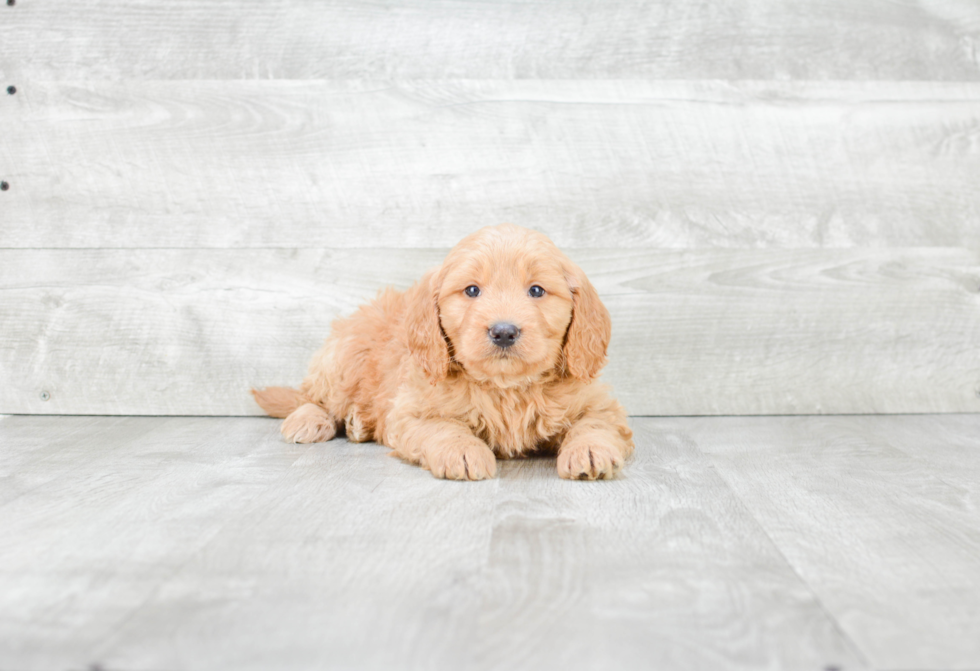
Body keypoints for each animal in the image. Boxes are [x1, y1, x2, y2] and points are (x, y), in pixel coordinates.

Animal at [253, 223, 632, 480]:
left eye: (537, 290)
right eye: (472, 290)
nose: (504, 332)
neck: (505, 388)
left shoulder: (600, 404)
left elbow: (594, 423)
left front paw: (591, 450)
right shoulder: (412, 411)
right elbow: (443, 428)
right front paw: (462, 452)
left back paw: (357, 424)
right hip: (346, 357)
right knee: (314, 397)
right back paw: (311, 420)